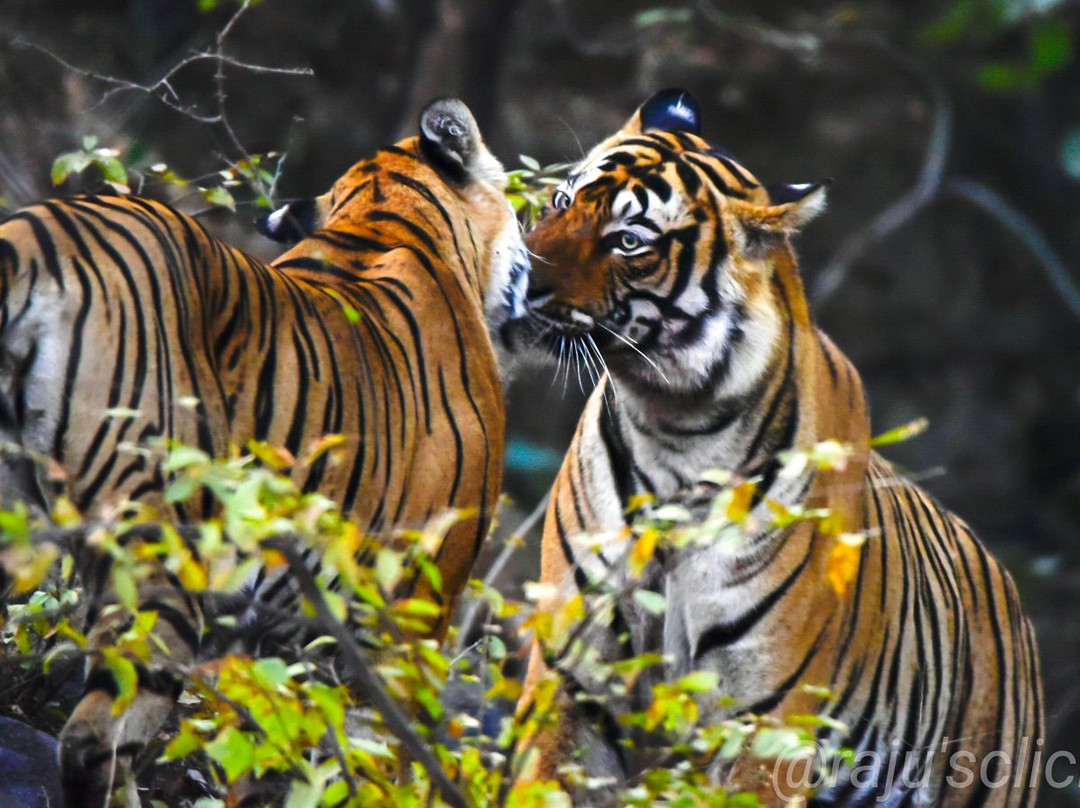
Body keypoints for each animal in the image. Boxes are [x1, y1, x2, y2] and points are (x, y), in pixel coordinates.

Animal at [0, 99, 527, 808]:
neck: (385, 223)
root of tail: (33, 235)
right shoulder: (415, 614)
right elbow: (391, 761)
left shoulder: (268, 632)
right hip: (160, 545)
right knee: (95, 739)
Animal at [509, 90, 1041, 808]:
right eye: (562, 201)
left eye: (629, 241)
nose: (519, 275)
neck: (674, 428)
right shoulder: (575, 676)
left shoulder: (761, 723)